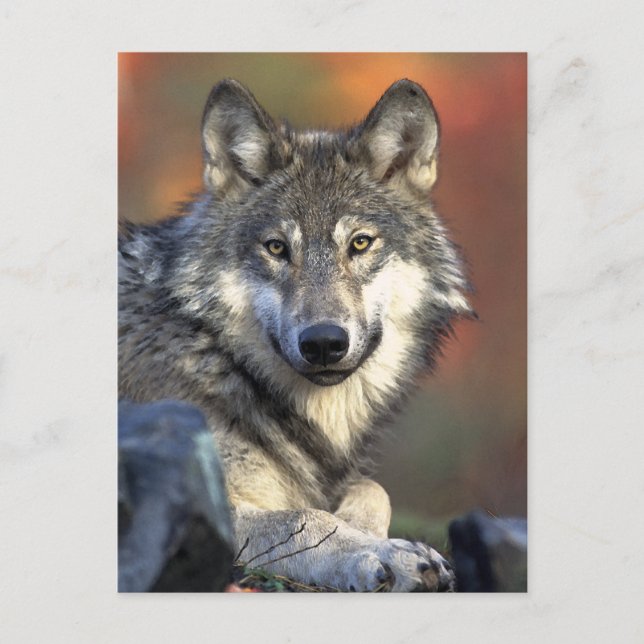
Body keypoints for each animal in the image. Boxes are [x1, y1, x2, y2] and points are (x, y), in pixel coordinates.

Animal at [119, 78, 473, 592]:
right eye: (277, 248)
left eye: (360, 243)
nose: (324, 342)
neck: (216, 357)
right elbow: (305, 518)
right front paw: (383, 553)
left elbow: (373, 488)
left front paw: (370, 533)